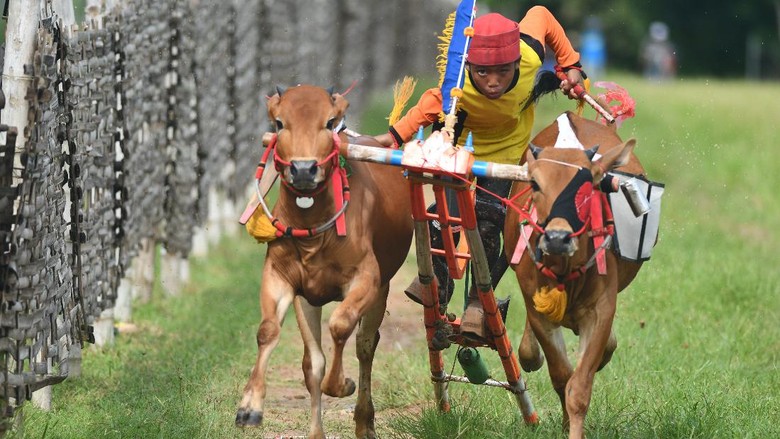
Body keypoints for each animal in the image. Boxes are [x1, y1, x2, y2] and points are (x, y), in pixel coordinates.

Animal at [235, 84, 412, 438]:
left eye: (330, 122)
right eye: (279, 123)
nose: (303, 169)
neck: (315, 236)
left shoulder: (367, 278)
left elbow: (341, 326)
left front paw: (341, 384)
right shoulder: (286, 281)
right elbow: (280, 340)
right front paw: (249, 407)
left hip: (382, 289)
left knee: (365, 345)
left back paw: (364, 422)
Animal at [506, 112, 644, 439]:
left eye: (589, 184)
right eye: (535, 183)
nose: (558, 238)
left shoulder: (601, 310)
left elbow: (578, 388)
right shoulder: (537, 307)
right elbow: (561, 376)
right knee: (531, 354)